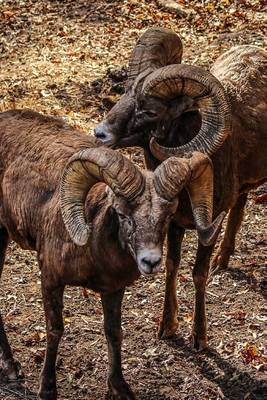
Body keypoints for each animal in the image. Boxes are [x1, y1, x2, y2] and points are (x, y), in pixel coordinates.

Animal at [0, 108, 222, 398]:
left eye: (167, 216)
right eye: (122, 214)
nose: (150, 261)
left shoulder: (114, 290)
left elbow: (114, 333)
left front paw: (119, 387)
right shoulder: (51, 280)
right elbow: (55, 330)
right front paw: (47, 388)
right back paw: (11, 367)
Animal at [94, 27, 267, 346]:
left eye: (149, 111)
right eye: (124, 92)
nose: (100, 134)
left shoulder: (207, 226)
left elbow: (198, 274)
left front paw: (199, 337)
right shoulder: (174, 223)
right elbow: (172, 267)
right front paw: (167, 327)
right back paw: (223, 260)